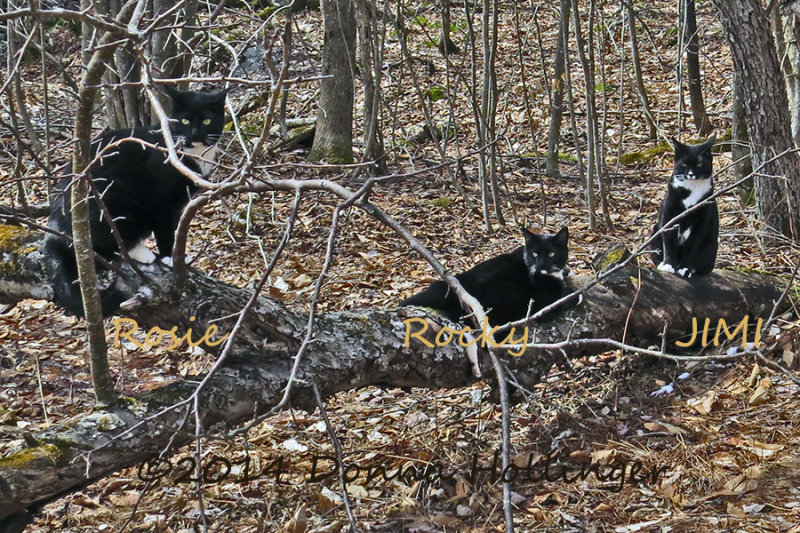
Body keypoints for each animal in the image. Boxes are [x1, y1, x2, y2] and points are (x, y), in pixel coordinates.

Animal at [43, 84, 227, 316]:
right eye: (184, 121)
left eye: (206, 121)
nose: (194, 134)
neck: (193, 156)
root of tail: (55, 229)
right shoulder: (162, 201)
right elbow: (166, 229)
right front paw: (169, 256)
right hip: (117, 205)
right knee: (108, 247)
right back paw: (142, 253)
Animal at [404, 225, 580, 324]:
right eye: (535, 254)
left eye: (551, 254)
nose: (541, 264)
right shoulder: (543, 305)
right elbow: (566, 298)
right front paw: (572, 292)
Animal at [648, 136, 720, 278]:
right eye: (684, 164)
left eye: (699, 164)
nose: (691, 174)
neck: (692, 188)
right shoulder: (669, 213)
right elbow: (669, 241)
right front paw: (668, 265)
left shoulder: (702, 219)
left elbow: (692, 245)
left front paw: (685, 269)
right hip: (655, 231)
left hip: (710, 249)